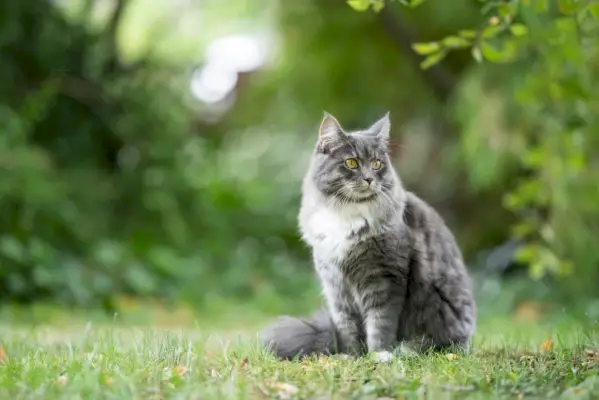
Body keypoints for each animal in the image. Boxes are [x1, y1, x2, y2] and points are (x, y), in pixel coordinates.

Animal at [262, 112, 478, 362]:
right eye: (351, 163)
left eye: (377, 164)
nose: (369, 179)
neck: (346, 213)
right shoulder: (337, 287)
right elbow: (347, 328)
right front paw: (352, 357)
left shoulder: (384, 279)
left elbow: (379, 324)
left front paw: (379, 355)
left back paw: (407, 349)